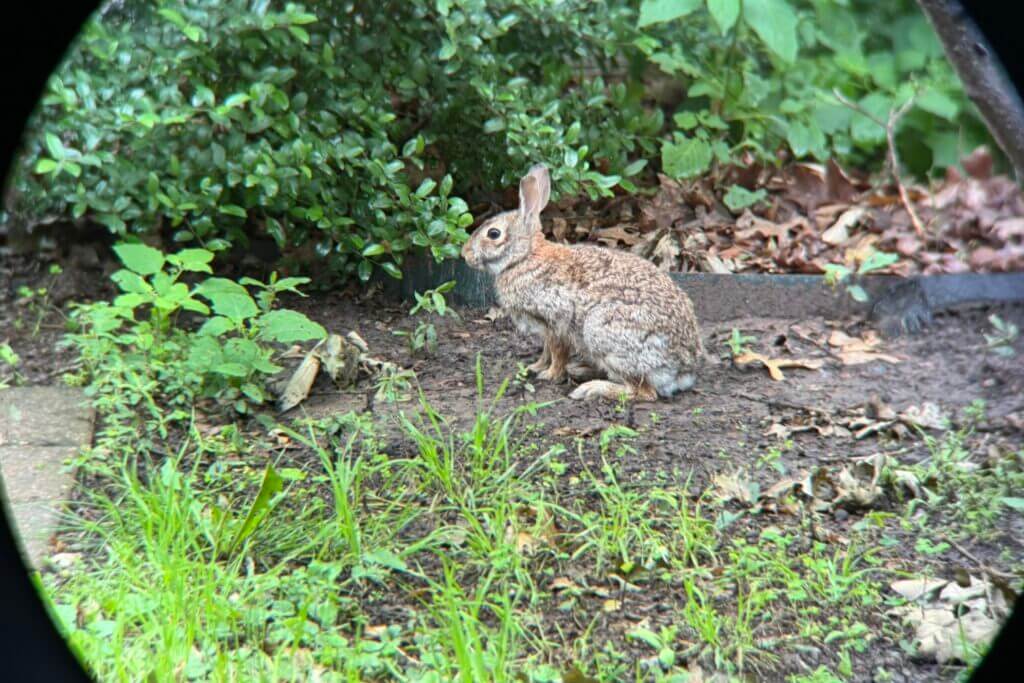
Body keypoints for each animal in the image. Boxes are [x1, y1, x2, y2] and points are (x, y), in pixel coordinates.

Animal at [462, 163, 704, 401]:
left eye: (493, 234)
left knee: (643, 391)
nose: (464, 254)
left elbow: (557, 352)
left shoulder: (555, 322)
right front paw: (536, 367)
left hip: (602, 332)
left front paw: (549, 375)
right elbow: (546, 351)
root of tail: (683, 370)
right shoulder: (545, 328)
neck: (524, 257)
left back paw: (590, 388)